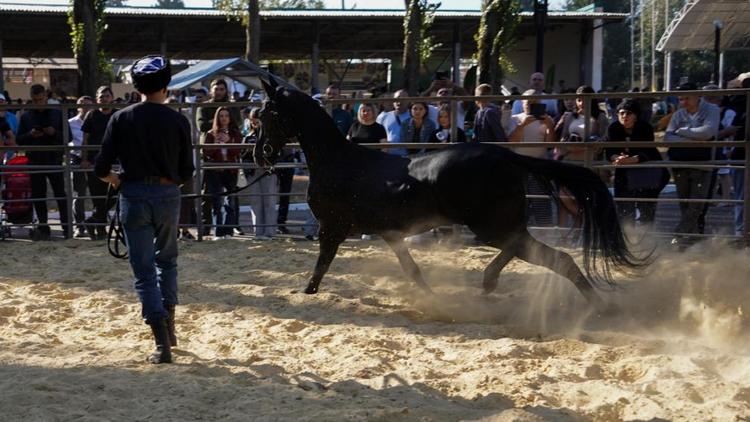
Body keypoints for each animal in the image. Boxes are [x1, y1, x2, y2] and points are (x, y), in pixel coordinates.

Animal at [256, 79, 644, 308]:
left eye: (267, 113)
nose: (260, 154)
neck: (337, 160)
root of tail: (504, 155)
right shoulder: (390, 233)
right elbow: (411, 269)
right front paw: (431, 296)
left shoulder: (332, 228)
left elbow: (321, 266)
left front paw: (304, 293)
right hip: (497, 225)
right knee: (525, 249)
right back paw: (492, 283)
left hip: (489, 224)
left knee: (548, 255)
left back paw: (593, 304)